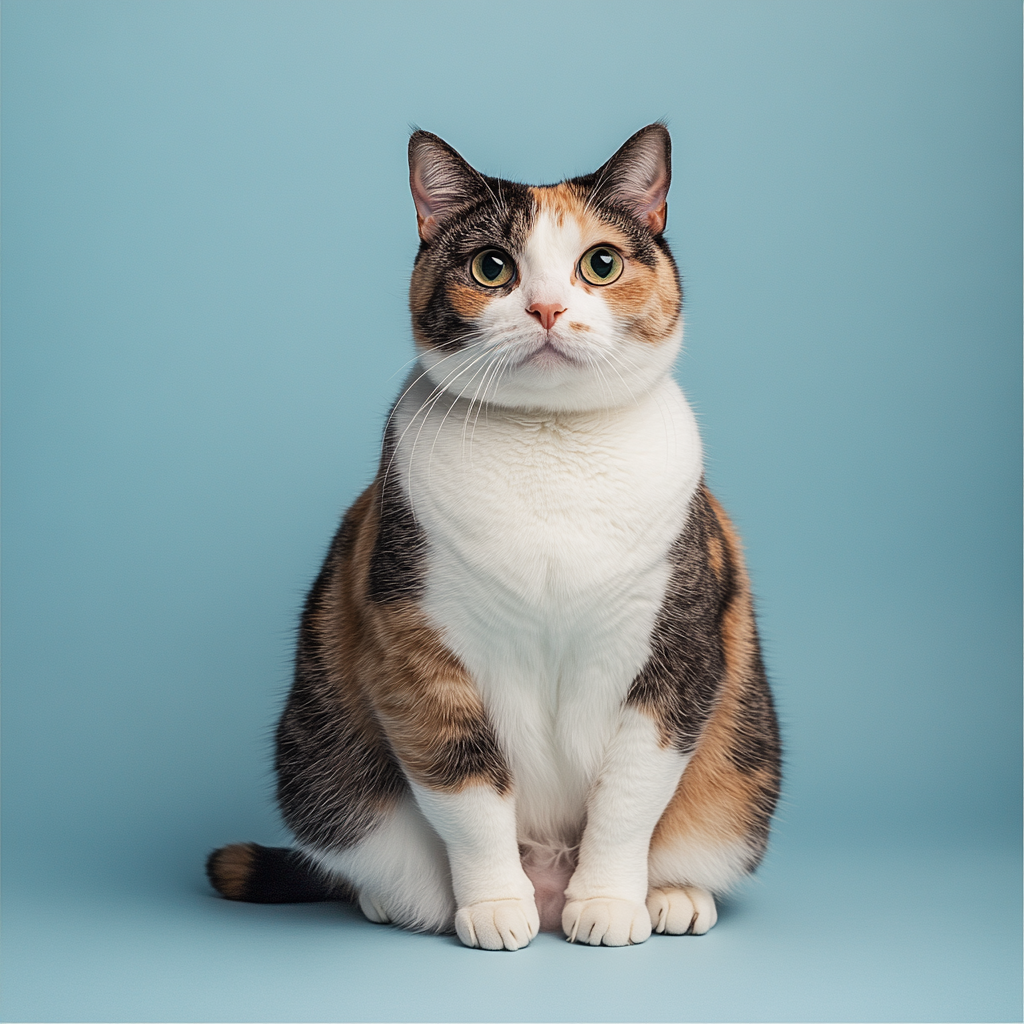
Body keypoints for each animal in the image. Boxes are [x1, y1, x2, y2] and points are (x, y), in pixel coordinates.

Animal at [209, 123, 782, 946]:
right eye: (492, 268)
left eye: (600, 263)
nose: (545, 308)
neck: (549, 449)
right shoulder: (417, 650)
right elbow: (468, 792)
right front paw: (494, 908)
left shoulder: (676, 655)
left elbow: (627, 799)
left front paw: (608, 902)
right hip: (329, 774)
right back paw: (411, 902)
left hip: (736, 778)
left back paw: (669, 896)